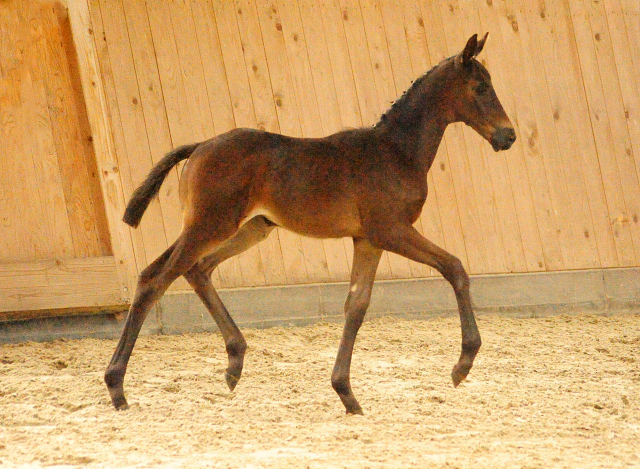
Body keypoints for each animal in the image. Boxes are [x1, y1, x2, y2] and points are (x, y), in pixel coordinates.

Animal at [105, 33, 516, 414]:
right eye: (480, 87)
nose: (508, 135)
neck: (396, 151)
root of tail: (200, 146)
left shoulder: (368, 239)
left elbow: (357, 305)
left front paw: (346, 393)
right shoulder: (391, 230)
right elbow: (455, 268)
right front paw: (463, 364)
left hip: (248, 228)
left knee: (190, 270)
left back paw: (234, 362)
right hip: (211, 225)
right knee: (156, 281)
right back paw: (116, 386)